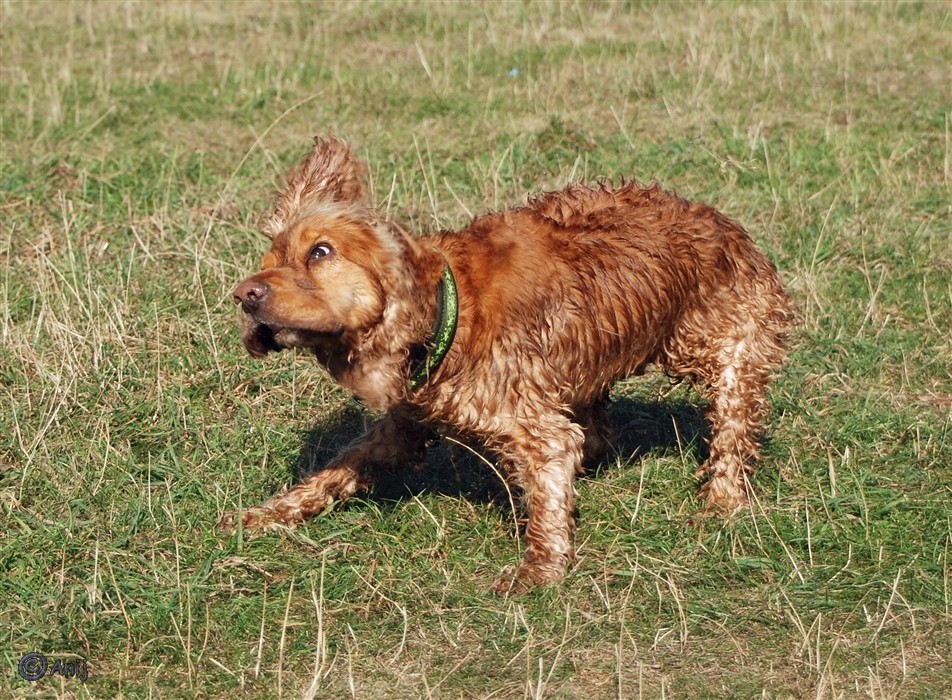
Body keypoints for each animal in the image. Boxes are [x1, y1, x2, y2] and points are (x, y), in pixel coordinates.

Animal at [221, 135, 788, 592]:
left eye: (320, 252)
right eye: (270, 258)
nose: (244, 295)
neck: (449, 314)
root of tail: (724, 221)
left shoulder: (535, 427)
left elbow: (549, 492)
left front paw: (538, 569)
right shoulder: (405, 424)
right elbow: (337, 468)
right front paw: (270, 512)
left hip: (728, 349)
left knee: (731, 428)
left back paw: (723, 500)